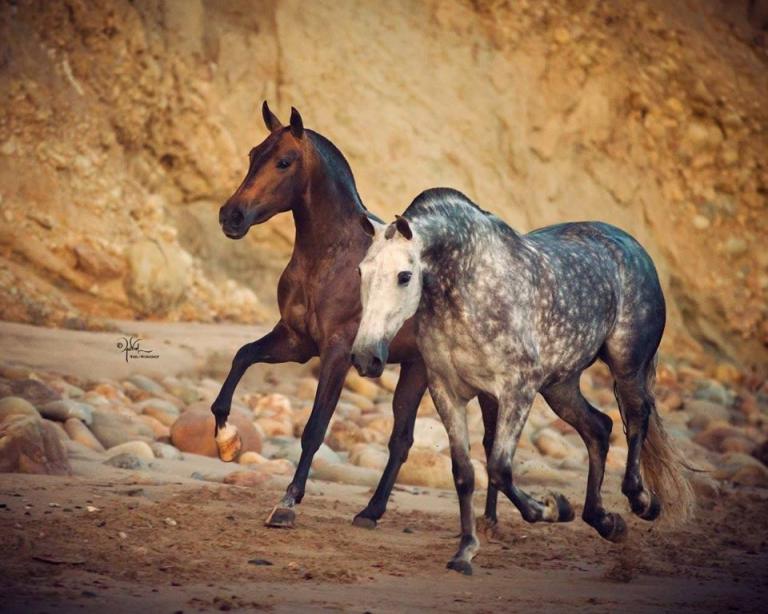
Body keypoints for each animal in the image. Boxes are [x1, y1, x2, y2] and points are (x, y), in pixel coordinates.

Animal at [212, 103, 503, 528]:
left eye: (284, 161)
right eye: (253, 155)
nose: (231, 216)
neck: (334, 259)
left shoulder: (337, 351)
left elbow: (315, 428)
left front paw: (287, 503)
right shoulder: (295, 342)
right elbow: (241, 357)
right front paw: (226, 440)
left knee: (491, 439)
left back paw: (492, 518)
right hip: (416, 370)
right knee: (403, 439)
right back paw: (371, 511)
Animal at [351, 187, 693, 575]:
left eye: (405, 275)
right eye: (362, 271)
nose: (366, 357)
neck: (471, 284)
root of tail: (635, 249)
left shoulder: (517, 390)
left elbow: (499, 468)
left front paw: (554, 508)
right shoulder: (447, 392)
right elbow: (464, 473)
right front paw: (465, 552)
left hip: (627, 368)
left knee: (636, 419)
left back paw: (641, 503)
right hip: (560, 387)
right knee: (599, 428)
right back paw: (606, 522)